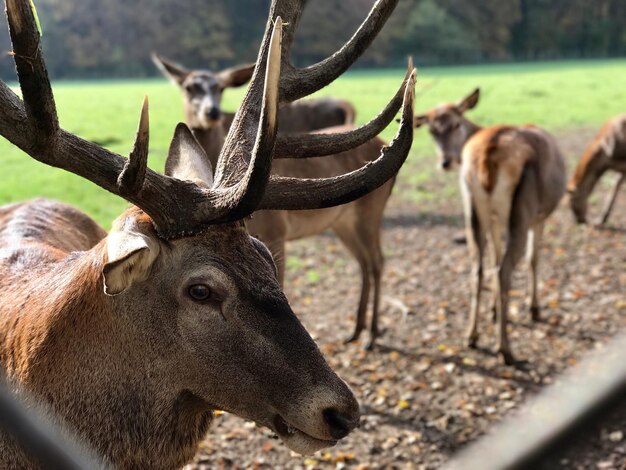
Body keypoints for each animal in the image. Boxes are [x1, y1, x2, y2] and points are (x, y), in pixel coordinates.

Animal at [153, 49, 412, 352]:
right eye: (188, 87)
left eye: (220, 88)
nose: (211, 112)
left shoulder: (277, 232)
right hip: (342, 222)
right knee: (363, 262)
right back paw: (356, 331)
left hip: (371, 210)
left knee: (377, 261)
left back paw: (371, 335)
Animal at [412, 90, 564, 366]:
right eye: (431, 130)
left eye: (455, 124)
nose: (445, 162)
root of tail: (486, 158)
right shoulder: (538, 218)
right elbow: (532, 259)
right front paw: (533, 309)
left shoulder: (494, 220)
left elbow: (493, 257)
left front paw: (494, 311)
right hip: (522, 210)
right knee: (505, 271)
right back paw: (505, 349)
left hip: (471, 206)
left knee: (477, 269)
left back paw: (471, 336)